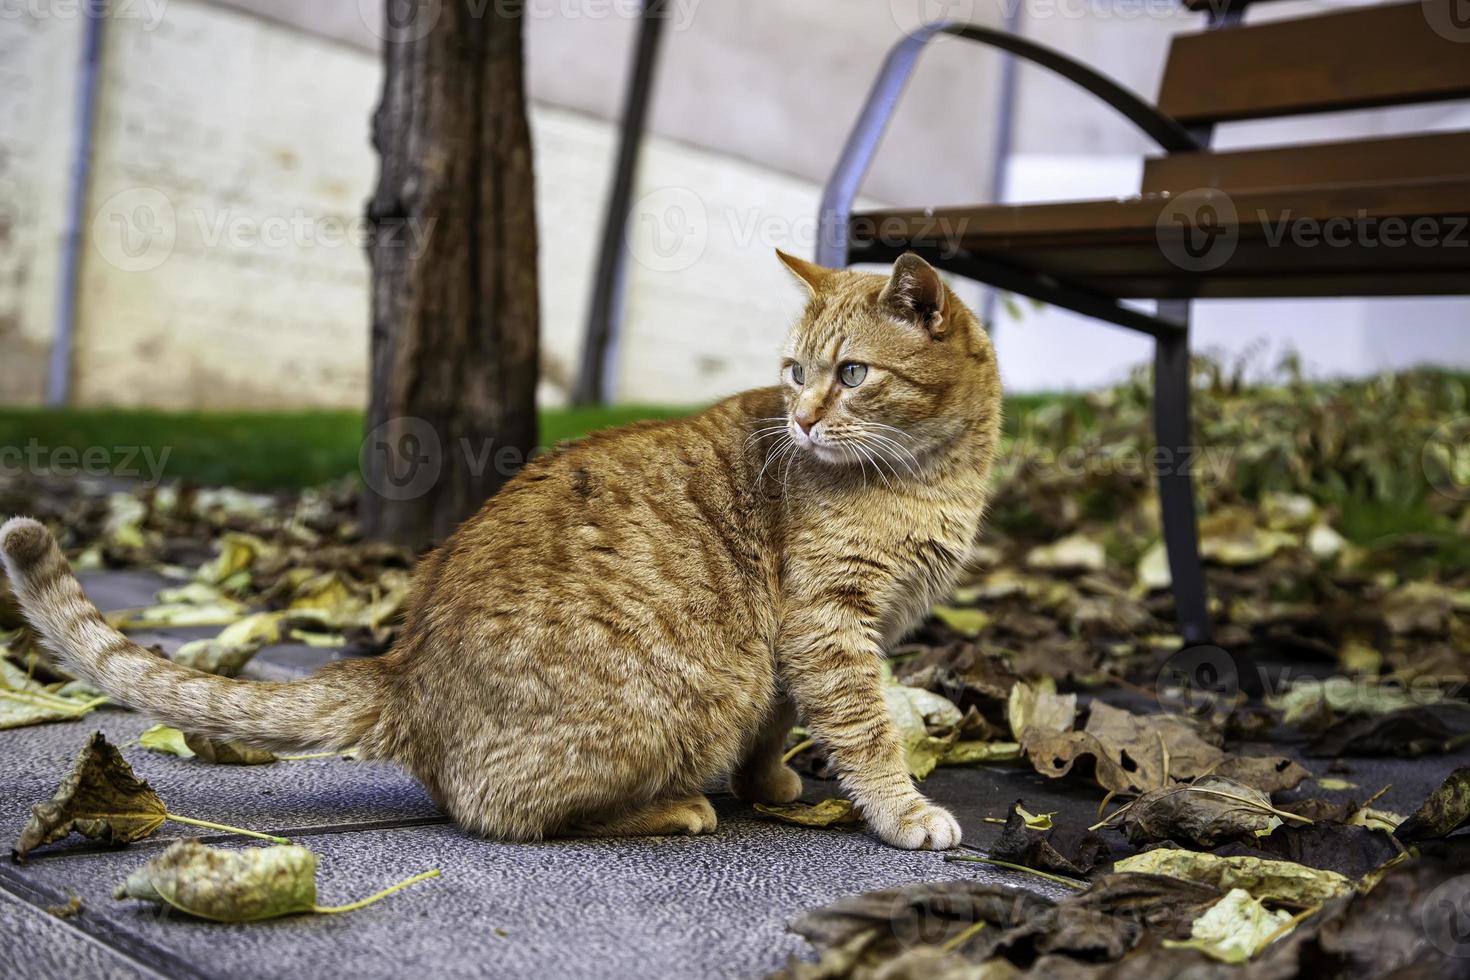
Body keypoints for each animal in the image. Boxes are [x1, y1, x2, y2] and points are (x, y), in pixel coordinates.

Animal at [0, 251, 999, 852]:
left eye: (852, 374)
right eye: (796, 374)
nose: (802, 420)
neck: (934, 475)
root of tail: (402, 669)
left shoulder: (803, 647)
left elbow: (784, 720)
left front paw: (772, 781)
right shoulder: (827, 626)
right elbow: (864, 732)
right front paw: (904, 812)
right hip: (695, 695)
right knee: (504, 812)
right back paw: (675, 805)